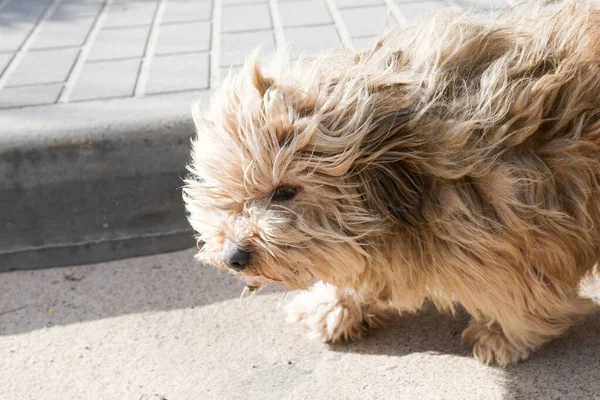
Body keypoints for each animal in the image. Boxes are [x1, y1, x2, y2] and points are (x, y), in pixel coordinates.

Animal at [183, 1, 600, 366]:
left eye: (284, 191)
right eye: (228, 194)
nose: (233, 257)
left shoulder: (516, 229)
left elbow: (523, 295)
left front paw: (505, 335)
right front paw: (334, 306)